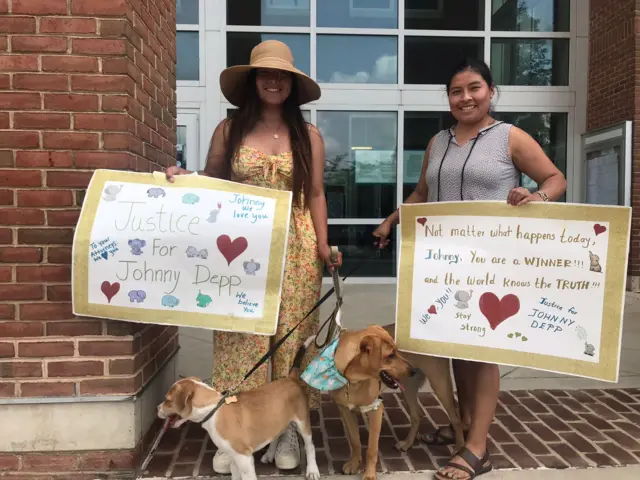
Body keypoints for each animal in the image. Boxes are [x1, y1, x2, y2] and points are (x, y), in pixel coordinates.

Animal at [320, 324, 416, 480]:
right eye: (391, 355)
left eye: (396, 351)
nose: (414, 370)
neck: (353, 381)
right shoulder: (345, 411)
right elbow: (355, 441)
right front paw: (354, 463)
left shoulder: (375, 409)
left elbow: (372, 448)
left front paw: (369, 474)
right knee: (417, 415)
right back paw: (407, 443)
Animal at [382, 324, 462, 452]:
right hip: (408, 388)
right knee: (417, 414)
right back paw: (408, 442)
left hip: (439, 384)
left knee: (456, 418)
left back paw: (459, 449)